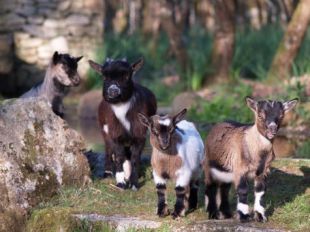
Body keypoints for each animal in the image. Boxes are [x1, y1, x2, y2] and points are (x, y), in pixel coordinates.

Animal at [88, 57, 157, 189]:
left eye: (126, 76)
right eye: (104, 77)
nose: (113, 91)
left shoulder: (140, 135)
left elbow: (135, 158)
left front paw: (133, 183)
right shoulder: (114, 133)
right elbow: (119, 156)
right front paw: (120, 182)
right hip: (104, 130)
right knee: (109, 149)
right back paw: (108, 172)